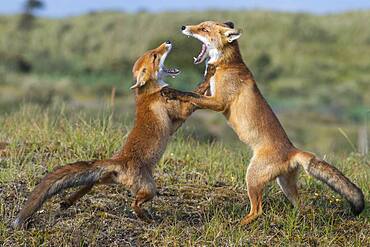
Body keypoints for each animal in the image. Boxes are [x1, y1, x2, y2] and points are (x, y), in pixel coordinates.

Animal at [12, 41, 214, 229]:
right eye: (155, 56)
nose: (168, 41)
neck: (149, 92)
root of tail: (119, 160)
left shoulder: (175, 123)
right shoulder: (180, 112)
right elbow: (195, 94)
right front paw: (209, 75)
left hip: (109, 179)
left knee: (91, 183)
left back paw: (68, 201)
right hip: (150, 188)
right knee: (134, 203)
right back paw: (145, 217)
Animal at [163, 21, 366, 226]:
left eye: (204, 29)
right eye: (200, 25)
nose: (183, 27)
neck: (227, 65)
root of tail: (292, 150)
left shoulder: (219, 102)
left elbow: (189, 94)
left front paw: (172, 92)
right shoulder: (210, 94)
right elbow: (196, 91)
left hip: (252, 177)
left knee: (258, 210)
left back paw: (239, 223)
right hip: (285, 185)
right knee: (302, 206)